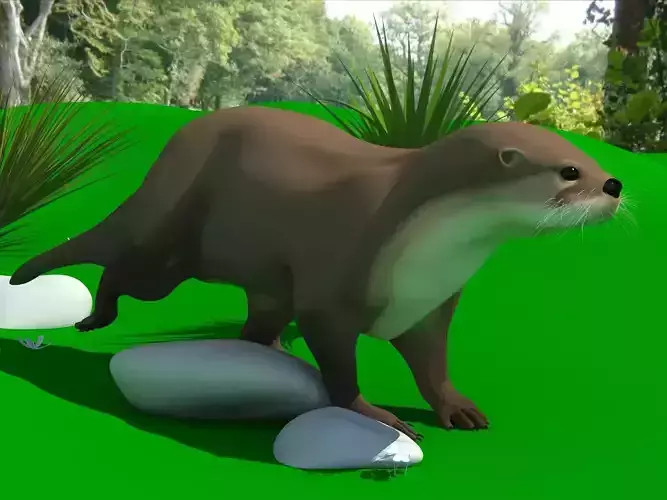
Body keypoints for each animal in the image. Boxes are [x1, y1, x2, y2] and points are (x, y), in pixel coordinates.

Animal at [9, 106, 623, 440]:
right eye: (570, 171)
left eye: (594, 163)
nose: (615, 184)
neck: (425, 241)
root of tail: (173, 151)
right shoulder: (334, 287)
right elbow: (339, 365)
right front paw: (378, 416)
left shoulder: (428, 303)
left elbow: (431, 363)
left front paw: (457, 407)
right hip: (170, 249)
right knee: (123, 267)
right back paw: (94, 317)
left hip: (264, 283)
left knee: (257, 324)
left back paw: (273, 352)